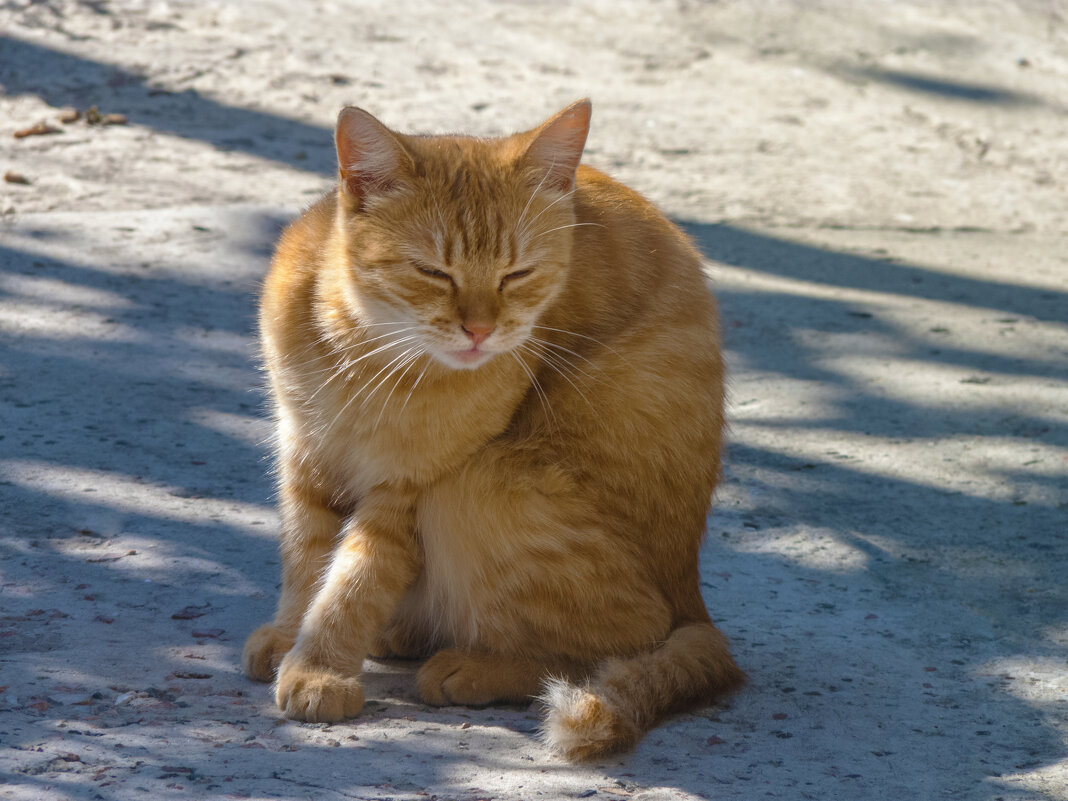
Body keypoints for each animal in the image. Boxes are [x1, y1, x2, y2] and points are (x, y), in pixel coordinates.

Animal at [242, 98, 743, 760]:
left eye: (517, 274)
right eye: (433, 272)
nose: (479, 331)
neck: (367, 359)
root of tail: (695, 601)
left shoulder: (406, 489)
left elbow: (355, 581)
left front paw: (317, 668)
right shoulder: (305, 453)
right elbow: (305, 557)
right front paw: (288, 633)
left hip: (481, 486)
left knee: (628, 636)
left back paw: (471, 667)